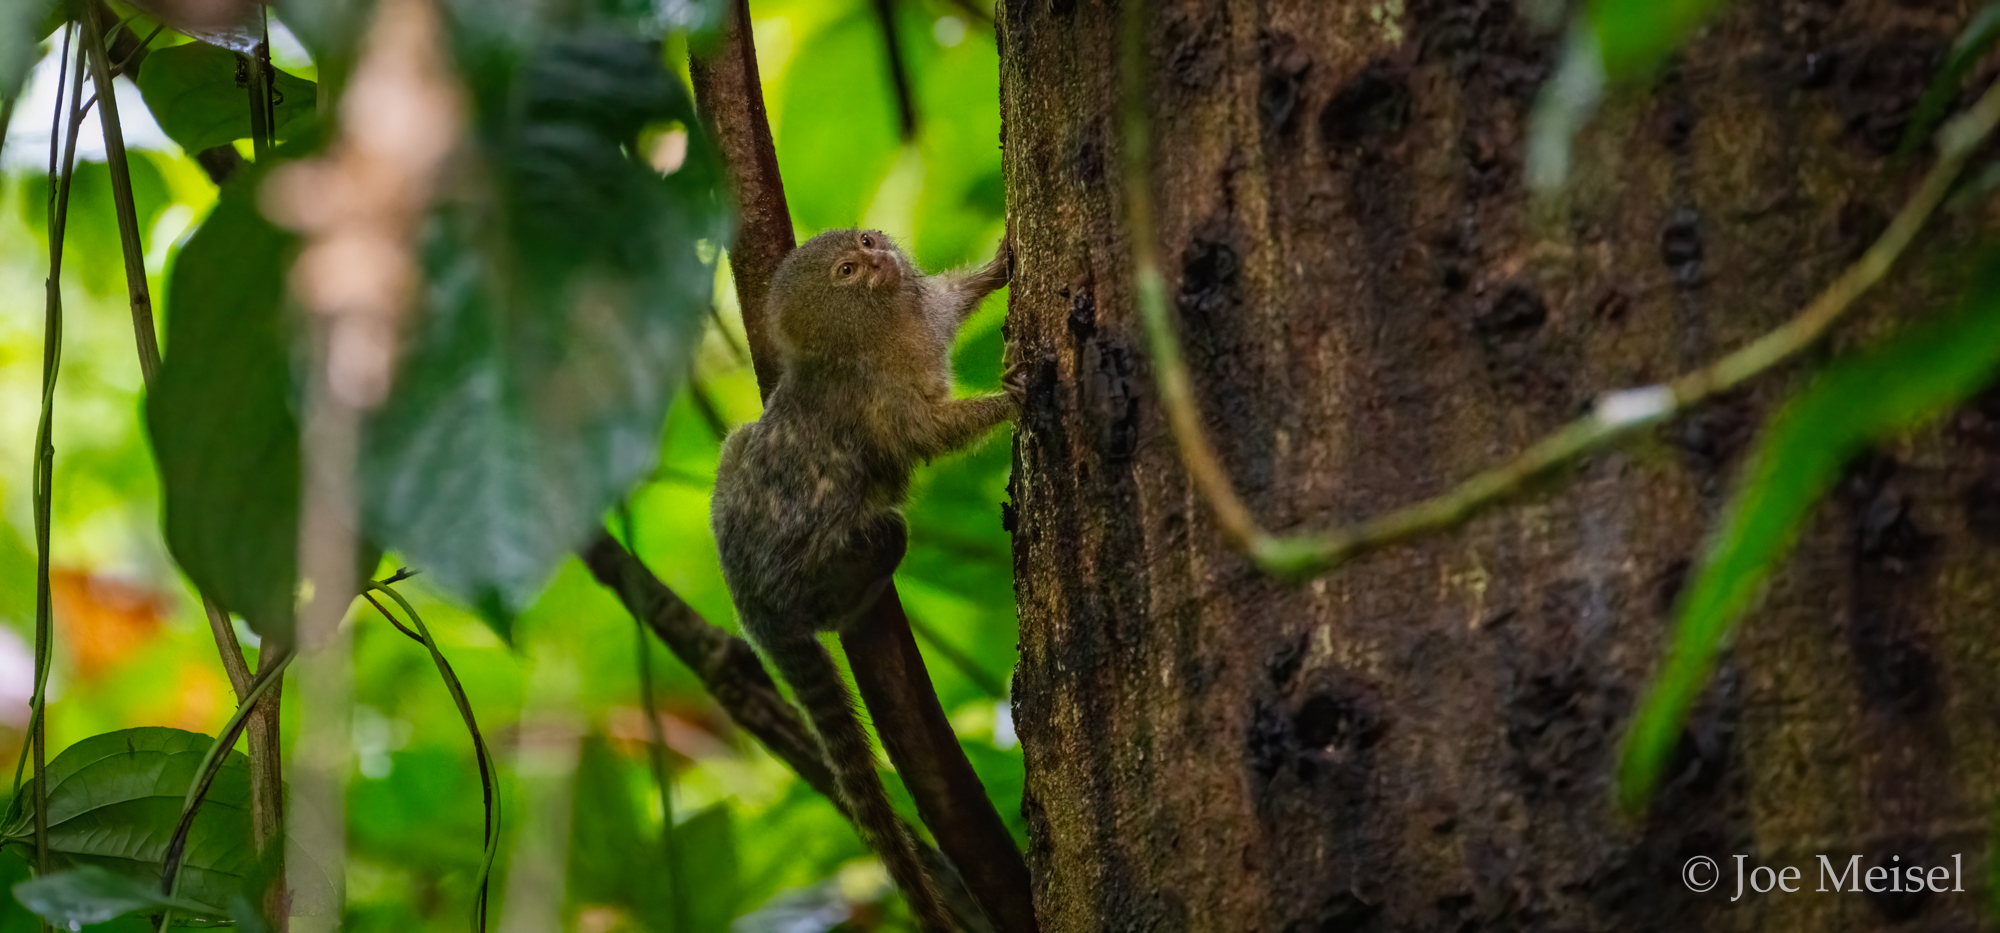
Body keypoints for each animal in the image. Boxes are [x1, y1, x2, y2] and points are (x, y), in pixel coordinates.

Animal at [710, 228, 1016, 933]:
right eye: (848, 271)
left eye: (867, 242)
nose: (878, 258)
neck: (879, 332)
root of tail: (751, 607)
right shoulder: (877, 396)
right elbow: (926, 432)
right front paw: (1018, 396)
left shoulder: (925, 319)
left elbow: (955, 300)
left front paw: (999, 266)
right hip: (814, 575)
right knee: (886, 535)